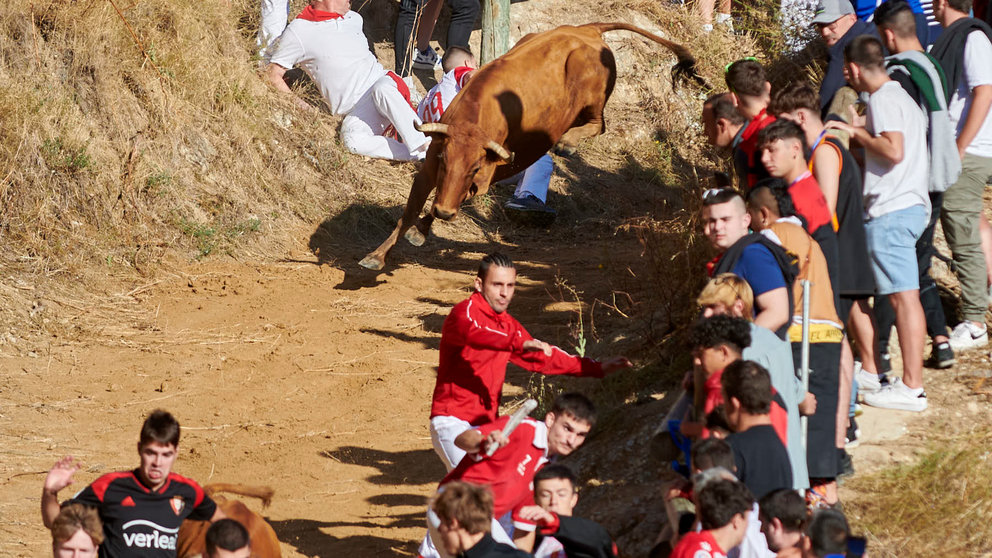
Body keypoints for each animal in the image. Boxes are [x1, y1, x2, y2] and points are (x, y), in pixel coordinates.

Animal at [360, 23, 700, 272]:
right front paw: (378, 254)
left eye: (474, 166)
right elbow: (410, 212)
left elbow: (450, 199)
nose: (445, 213)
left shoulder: (487, 174)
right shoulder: (431, 168)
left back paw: (567, 142)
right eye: (445, 159)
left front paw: (423, 228)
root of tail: (587, 30)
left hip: (593, 95)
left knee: (599, 124)